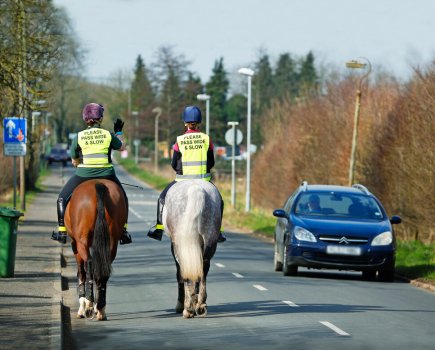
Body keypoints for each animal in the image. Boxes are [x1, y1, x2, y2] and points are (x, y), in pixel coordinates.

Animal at [64, 180, 127, 320]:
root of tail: (98, 184)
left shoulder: (75, 244)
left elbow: (81, 273)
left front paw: (82, 308)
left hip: (81, 242)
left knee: (89, 265)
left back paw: (88, 305)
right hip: (112, 242)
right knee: (103, 271)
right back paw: (101, 309)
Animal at [164, 179, 223, 318]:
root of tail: (196, 189)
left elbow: (180, 274)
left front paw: (183, 304)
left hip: (181, 245)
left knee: (185, 272)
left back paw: (188, 308)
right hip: (209, 240)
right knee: (203, 269)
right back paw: (200, 305)